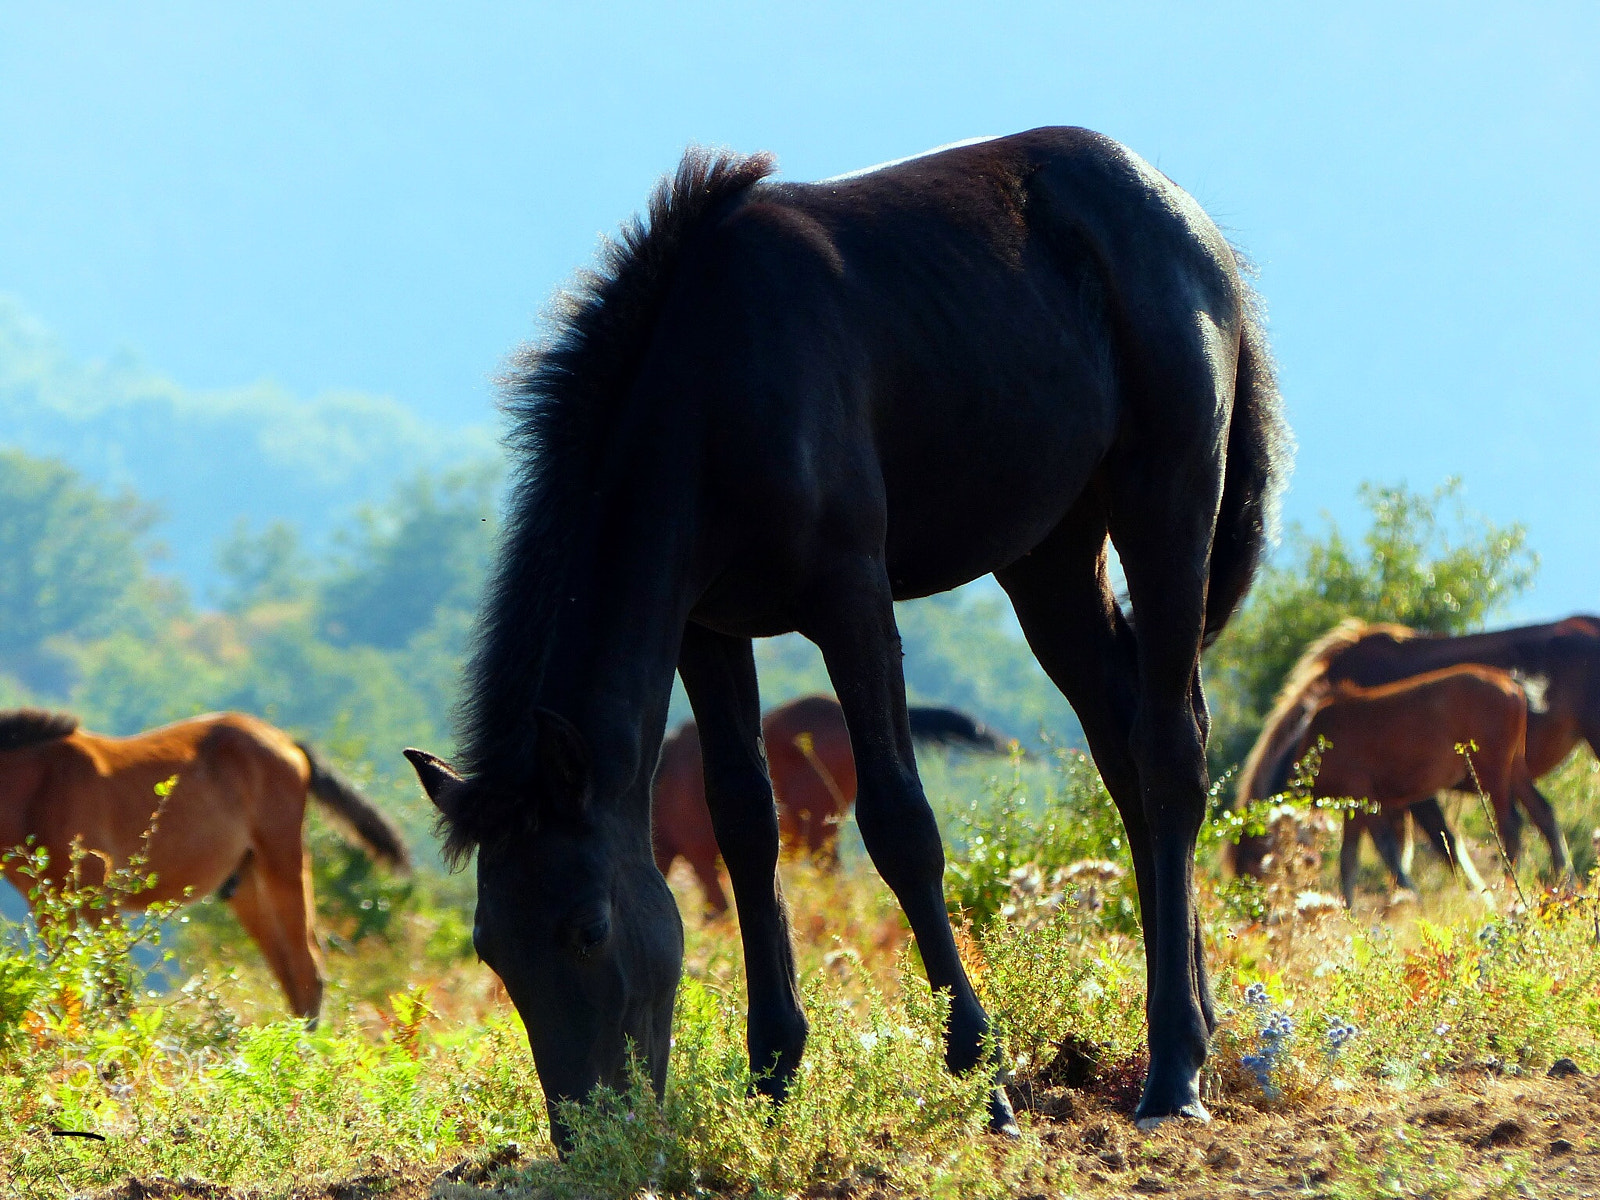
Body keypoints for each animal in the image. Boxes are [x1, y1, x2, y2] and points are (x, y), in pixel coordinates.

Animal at [0, 709, 410, 1021]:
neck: (39, 789)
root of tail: (289, 743)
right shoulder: (48, 905)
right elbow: (68, 985)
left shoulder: (98, 900)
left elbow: (112, 988)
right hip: (245, 883)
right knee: (289, 972)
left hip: (283, 862)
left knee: (308, 968)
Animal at [1237, 616, 1593, 888]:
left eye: (1257, 866)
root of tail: (1517, 686)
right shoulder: (1386, 800)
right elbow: (1392, 853)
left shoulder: (1404, 796)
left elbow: (1437, 846)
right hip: (1512, 770)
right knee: (1544, 815)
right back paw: (1564, 885)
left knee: (1513, 825)